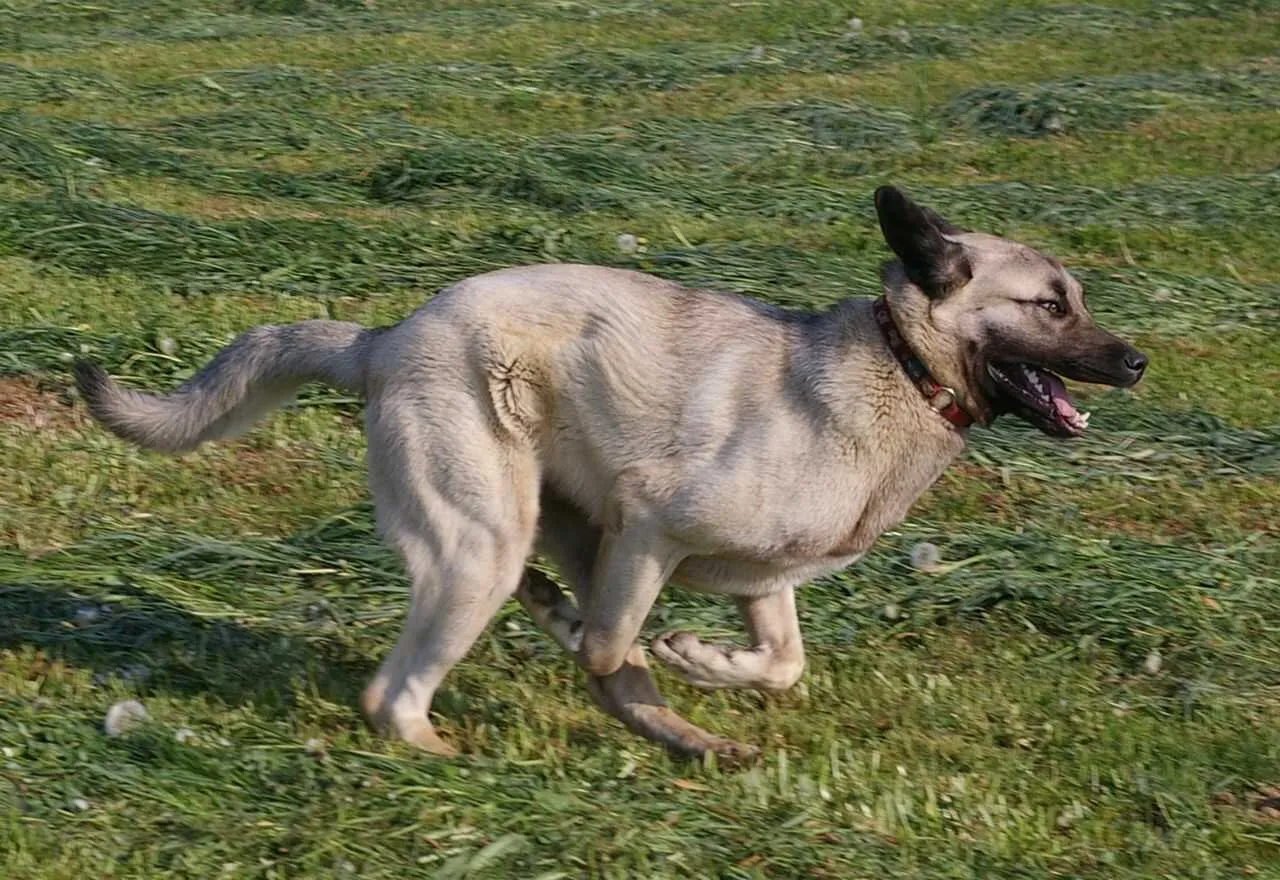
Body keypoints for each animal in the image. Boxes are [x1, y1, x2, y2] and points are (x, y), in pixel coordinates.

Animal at [72, 186, 1152, 762]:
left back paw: (690, 737)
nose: (1138, 361)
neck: (900, 365)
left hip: (538, 522)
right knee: (410, 690)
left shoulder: (762, 581)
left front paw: (708, 664)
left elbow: (780, 663)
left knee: (584, 647)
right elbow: (608, 644)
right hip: (485, 540)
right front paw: (665, 651)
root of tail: (385, 338)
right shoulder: (649, 520)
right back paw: (455, 741)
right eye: (1049, 305)